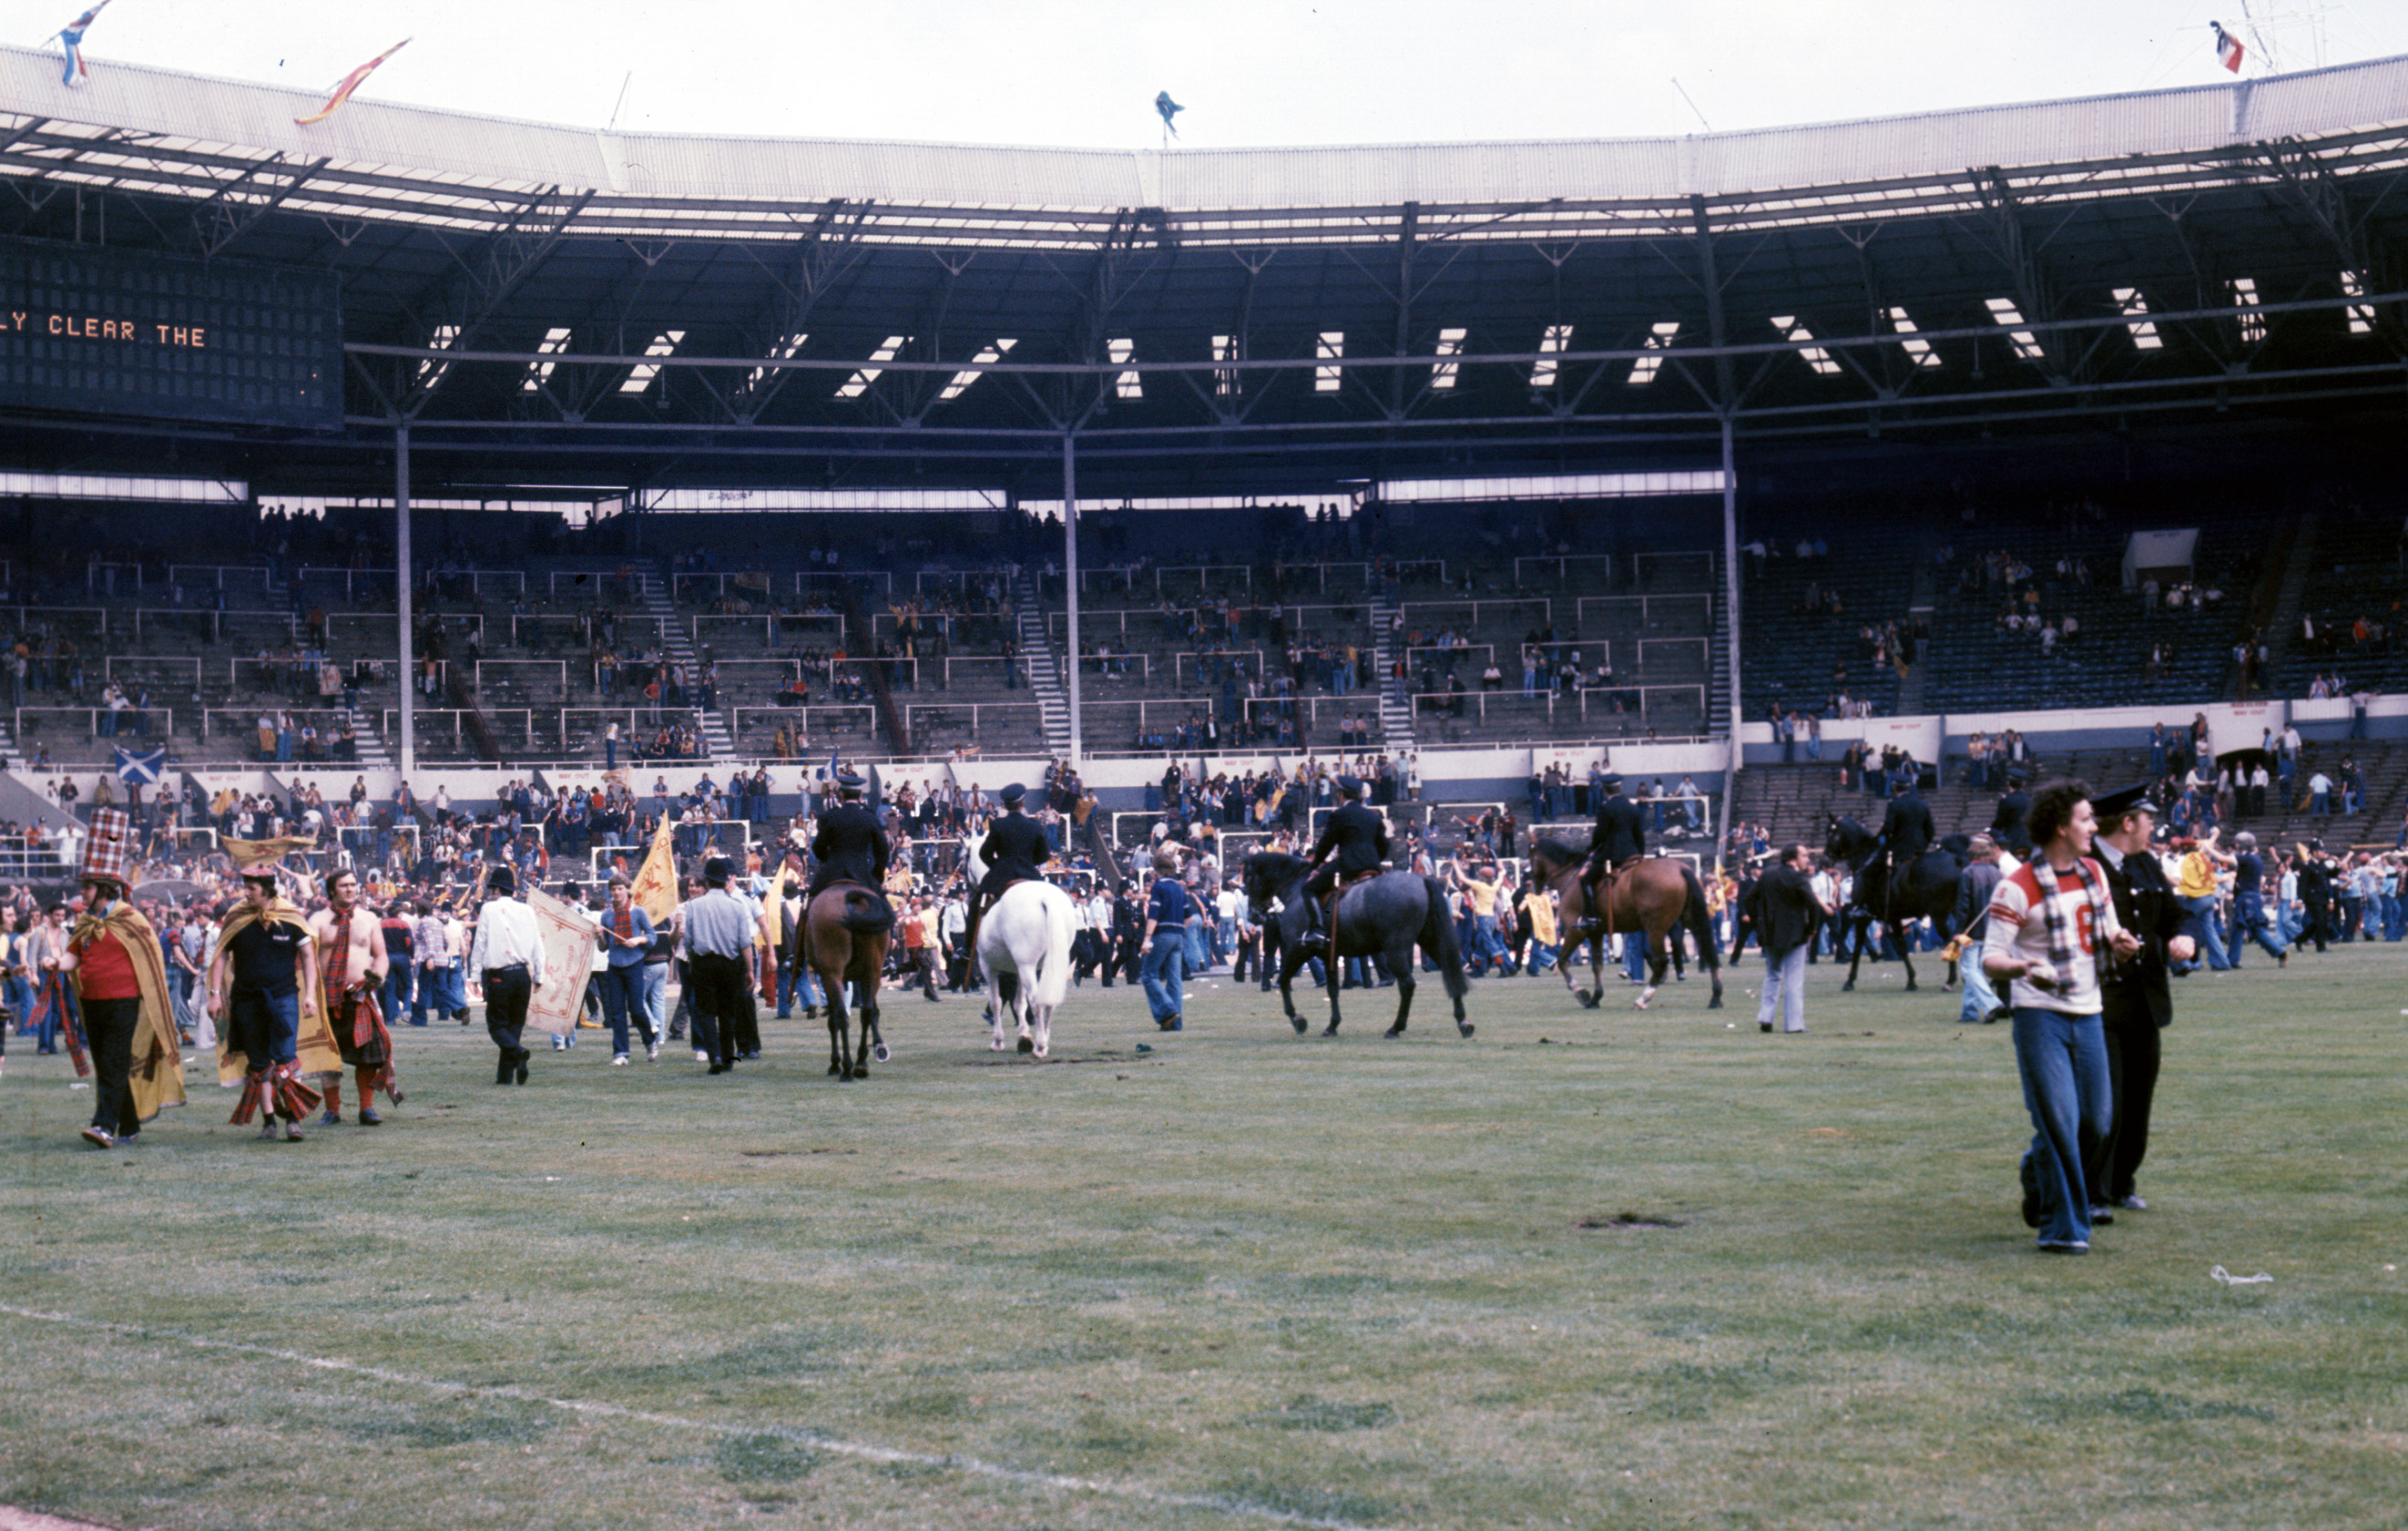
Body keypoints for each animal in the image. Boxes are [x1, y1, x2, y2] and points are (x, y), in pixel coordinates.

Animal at [809, 880, 895, 1083]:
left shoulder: (826, 976)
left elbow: (833, 1019)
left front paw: (835, 1063)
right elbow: (871, 1011)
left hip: (832, 972)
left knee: (841, 1014)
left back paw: (847, 1068)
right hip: (873, 971)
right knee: (867, 1011)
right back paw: (861, 1063)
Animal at [963, 837, 1078, 1054]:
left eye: (964, 857)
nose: (967, 885)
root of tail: (1045, 898)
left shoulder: (988, 965)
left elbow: (997, 1002)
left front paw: (998, 1041)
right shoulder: (1017, 969)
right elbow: (1019, 1003)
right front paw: (1024, 1037)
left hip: (1026, 965)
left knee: (1036, 999)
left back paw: (1040, 1046)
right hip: (1046, 964)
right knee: (1048, 1000)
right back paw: (1044, 1040)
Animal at [1252, 846, 1474, 1040]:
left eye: (1248, 877)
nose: (1254, 915)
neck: (1298, 890)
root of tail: (1421, 880)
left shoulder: (1297, 950)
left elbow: (1283, 981)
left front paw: (1298, 1020)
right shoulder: (1329, 954)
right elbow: (1332, 990)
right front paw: (1332, 1025)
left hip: (1395, 950)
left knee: (1407, 985)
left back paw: (1395, 1027)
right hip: (1430, 941)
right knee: (1449, 971)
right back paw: (1463, 1022)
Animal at [1531, 837, 1723, 1006]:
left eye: (1531, 857)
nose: (1535, 887)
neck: (1571, 877)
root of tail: (1681, 869)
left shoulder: (1576, 931)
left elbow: (1562, 961)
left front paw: (1581, 993)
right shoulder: (1595, 933)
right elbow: (1597, 965)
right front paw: (1596, 997)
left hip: (1656, 928)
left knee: (1661, 960)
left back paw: (1643, 999)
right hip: (1691, 920)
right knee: (1709, 950)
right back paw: (1715, 997)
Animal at [1830, 814, 1964, 991]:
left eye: (1831, 833)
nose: (1826, 857)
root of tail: (1955, 860)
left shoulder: (1863, 918)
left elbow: (1859, 947)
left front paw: (1849, 981)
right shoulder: (1894, 918)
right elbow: (1901, 946)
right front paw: (1912, 980)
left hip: (1939, 915)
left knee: (1951, 941)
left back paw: (1950, 980)